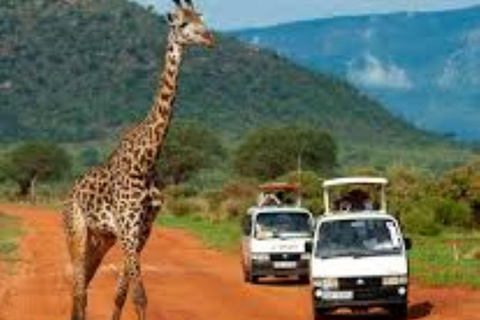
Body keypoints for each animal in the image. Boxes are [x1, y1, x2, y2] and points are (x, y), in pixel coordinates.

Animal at [62, 1, 214, 318]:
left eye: (200, 18)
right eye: (182, 24)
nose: (209, 38)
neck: (147, 161)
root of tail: (68, 194)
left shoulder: (142, 230)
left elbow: (122, 294)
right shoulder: (128, 228)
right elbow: (140, 296)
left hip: (101, 239)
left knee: (82, 286)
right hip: (76, 231)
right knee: (79, 287)